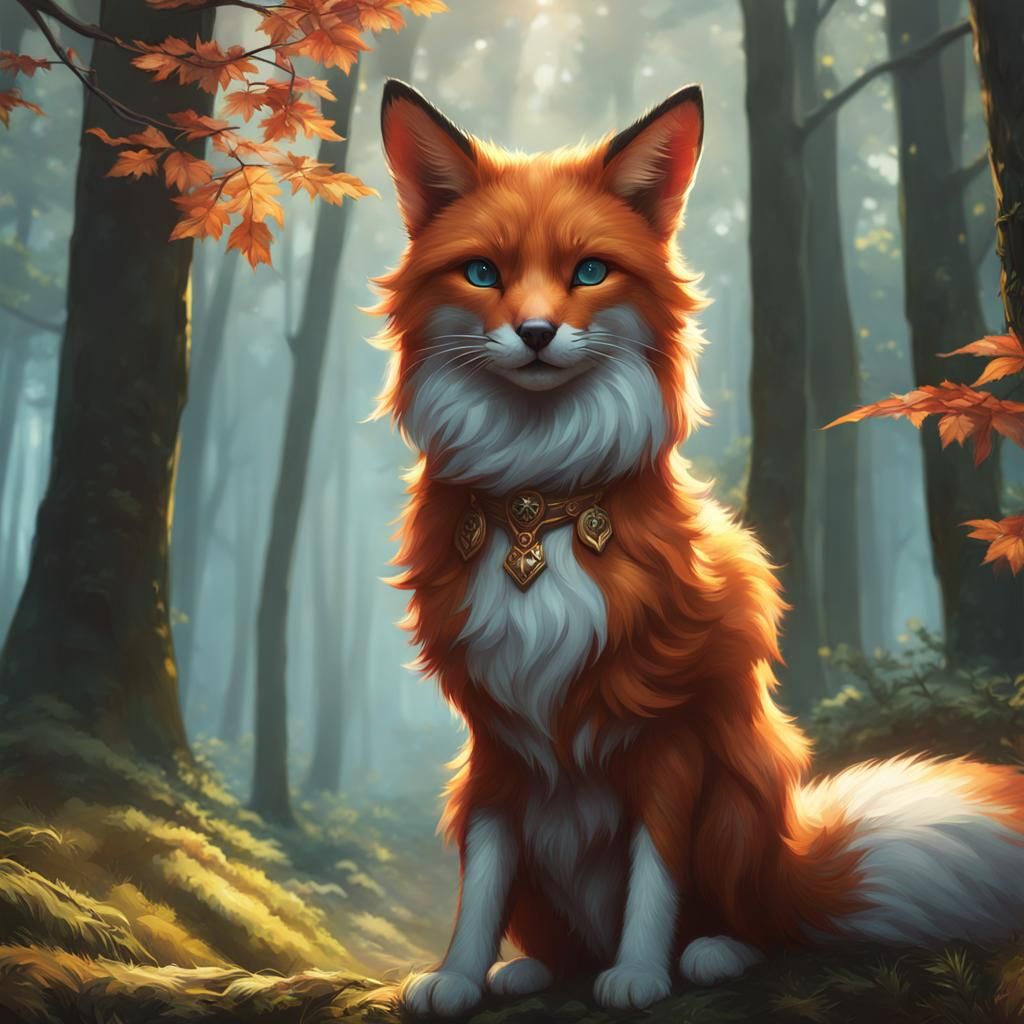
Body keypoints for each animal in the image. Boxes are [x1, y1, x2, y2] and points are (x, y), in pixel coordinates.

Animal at [370, 78, 1024, 1016]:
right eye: (484, 273)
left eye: (590, 272)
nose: (534, 333)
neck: (539, 506)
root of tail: (797, 866)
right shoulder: (493, 739)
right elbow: (484, 876)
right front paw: (458, 975)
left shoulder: (670, 737)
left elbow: (656, 870)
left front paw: (643, 974)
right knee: (554, 929)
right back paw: (531, 968)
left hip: (741, 800)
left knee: (760, 924)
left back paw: (713, 951)